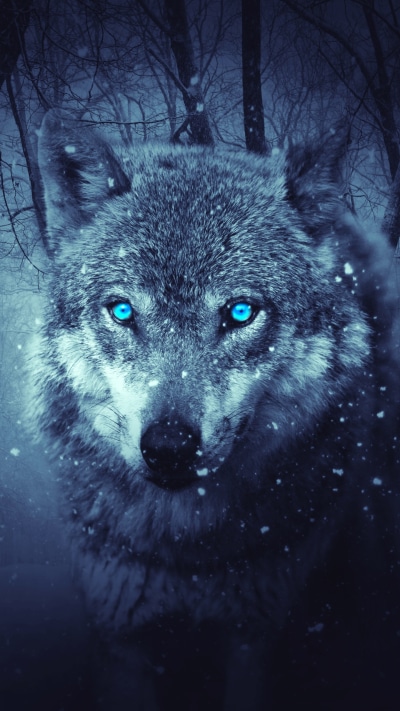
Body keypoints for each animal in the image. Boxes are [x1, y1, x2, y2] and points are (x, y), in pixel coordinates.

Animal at [29, 109, 399, 710]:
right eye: (123, 311)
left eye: (240, 312)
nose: (169, 448)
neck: (187, 553)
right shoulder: (122, 634)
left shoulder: (255, 635)